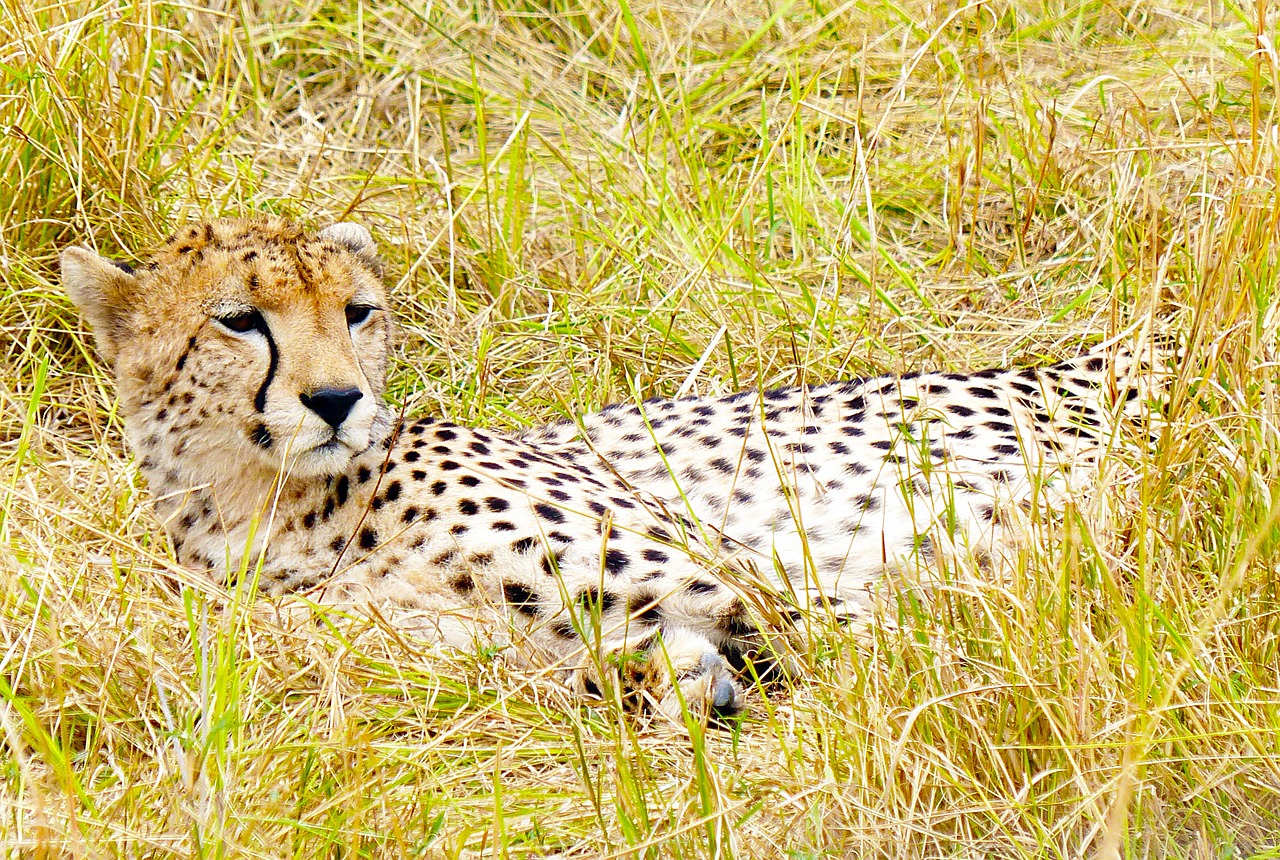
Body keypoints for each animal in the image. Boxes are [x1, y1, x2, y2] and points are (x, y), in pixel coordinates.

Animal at [57, 218, 1162, 721]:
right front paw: (664, 679)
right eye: (239, 320)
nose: (336, 401)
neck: (267, 507)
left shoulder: (754, 579)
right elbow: (549, 665)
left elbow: (874, 659)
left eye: (357, 312)